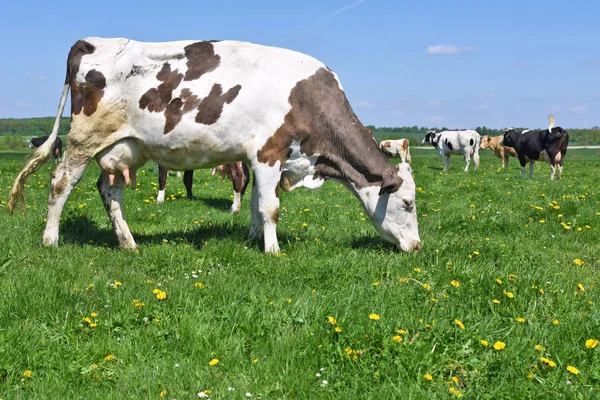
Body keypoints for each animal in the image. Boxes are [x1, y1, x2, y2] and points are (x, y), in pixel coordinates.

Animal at [9, 36, 422, 252]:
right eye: (408, 203)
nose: (417, 246)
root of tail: (91, 41)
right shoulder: (269, 151)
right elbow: (271, 207)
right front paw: (273, 250)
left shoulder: (260, 157)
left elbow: (255, 203)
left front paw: (253, 238)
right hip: (84, 139)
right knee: (61, 182)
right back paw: (50, 239)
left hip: (125, 148)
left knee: (110, 191)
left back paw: (128, 243)